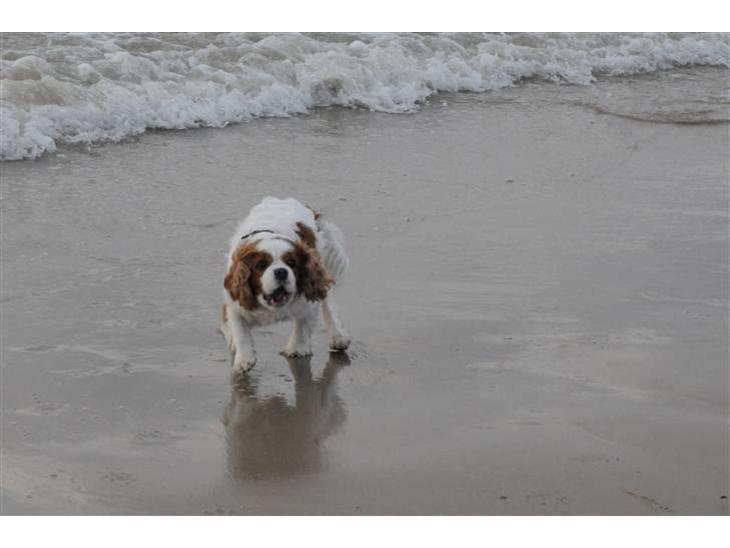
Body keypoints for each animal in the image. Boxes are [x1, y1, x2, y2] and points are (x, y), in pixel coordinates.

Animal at [220, 197, 350, 372]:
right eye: (261, 264)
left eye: (291, 262)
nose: (281, 271)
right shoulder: (234, 303)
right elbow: (240, 332)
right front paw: (244, 359)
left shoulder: (307, 303)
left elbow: (302, 326)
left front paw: (296, 348)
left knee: (327, 303)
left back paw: (338, 336)